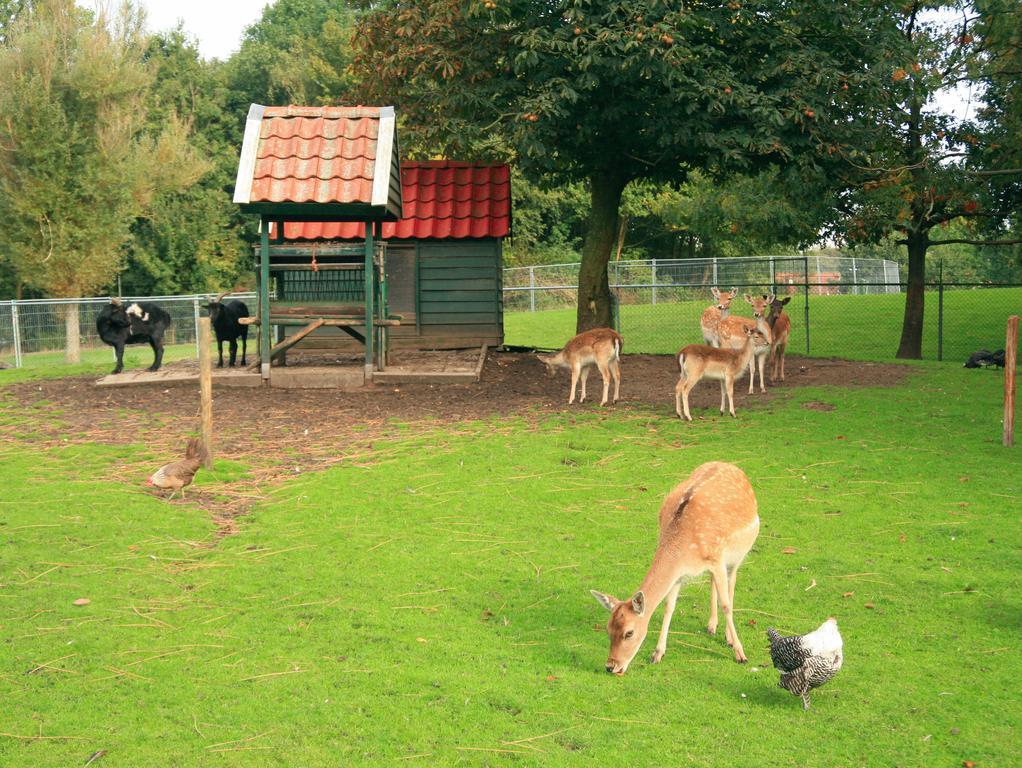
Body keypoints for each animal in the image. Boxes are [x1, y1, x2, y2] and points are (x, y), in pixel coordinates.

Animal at [592, 462, 760, 670]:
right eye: (608, 629)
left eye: (629, 632)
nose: (611, 666)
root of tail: (730, 465)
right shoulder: (681, 573)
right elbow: (669, 606)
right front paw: (657, 653)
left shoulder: (718, 559)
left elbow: (726, 605)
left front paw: (740, 653)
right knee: (713, 581)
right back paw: (711, 625)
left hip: (739, 551)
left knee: (732, 582)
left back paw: (728, 637)